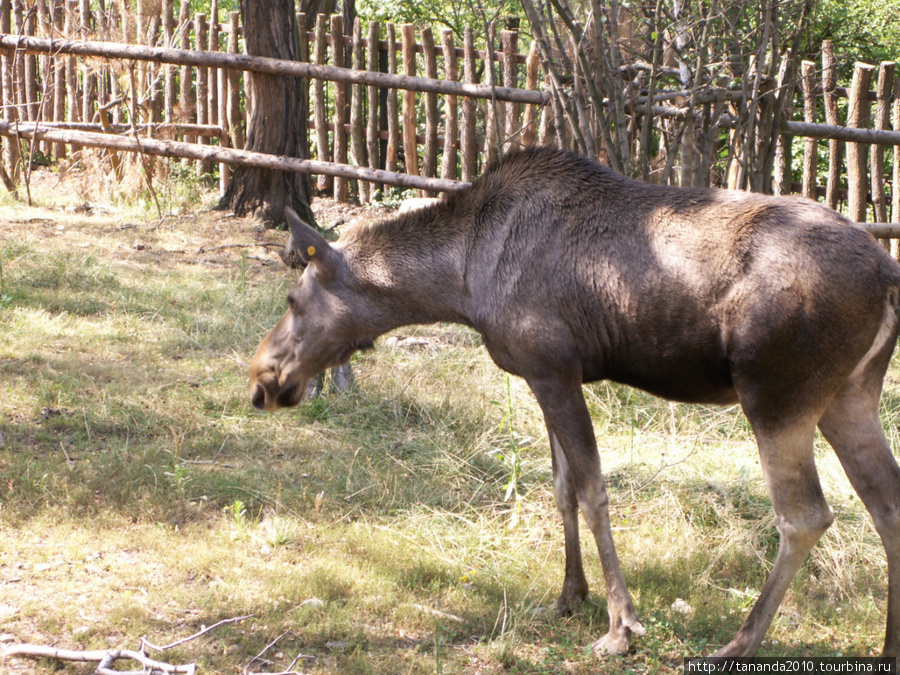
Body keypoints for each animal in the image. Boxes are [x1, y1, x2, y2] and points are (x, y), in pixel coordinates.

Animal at [250, 147, 900, 656]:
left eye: (291, 298)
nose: (262, 380)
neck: (461, 281)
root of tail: (887, 272)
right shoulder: (545, 376)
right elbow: (561, 487)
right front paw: (569, 596)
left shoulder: (554, 369)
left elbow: (591, 490)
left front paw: (621, 627)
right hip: (849, 395)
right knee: (884, 502)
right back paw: (889, 644)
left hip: (776, 396)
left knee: (805, 515)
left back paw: (740, 641)